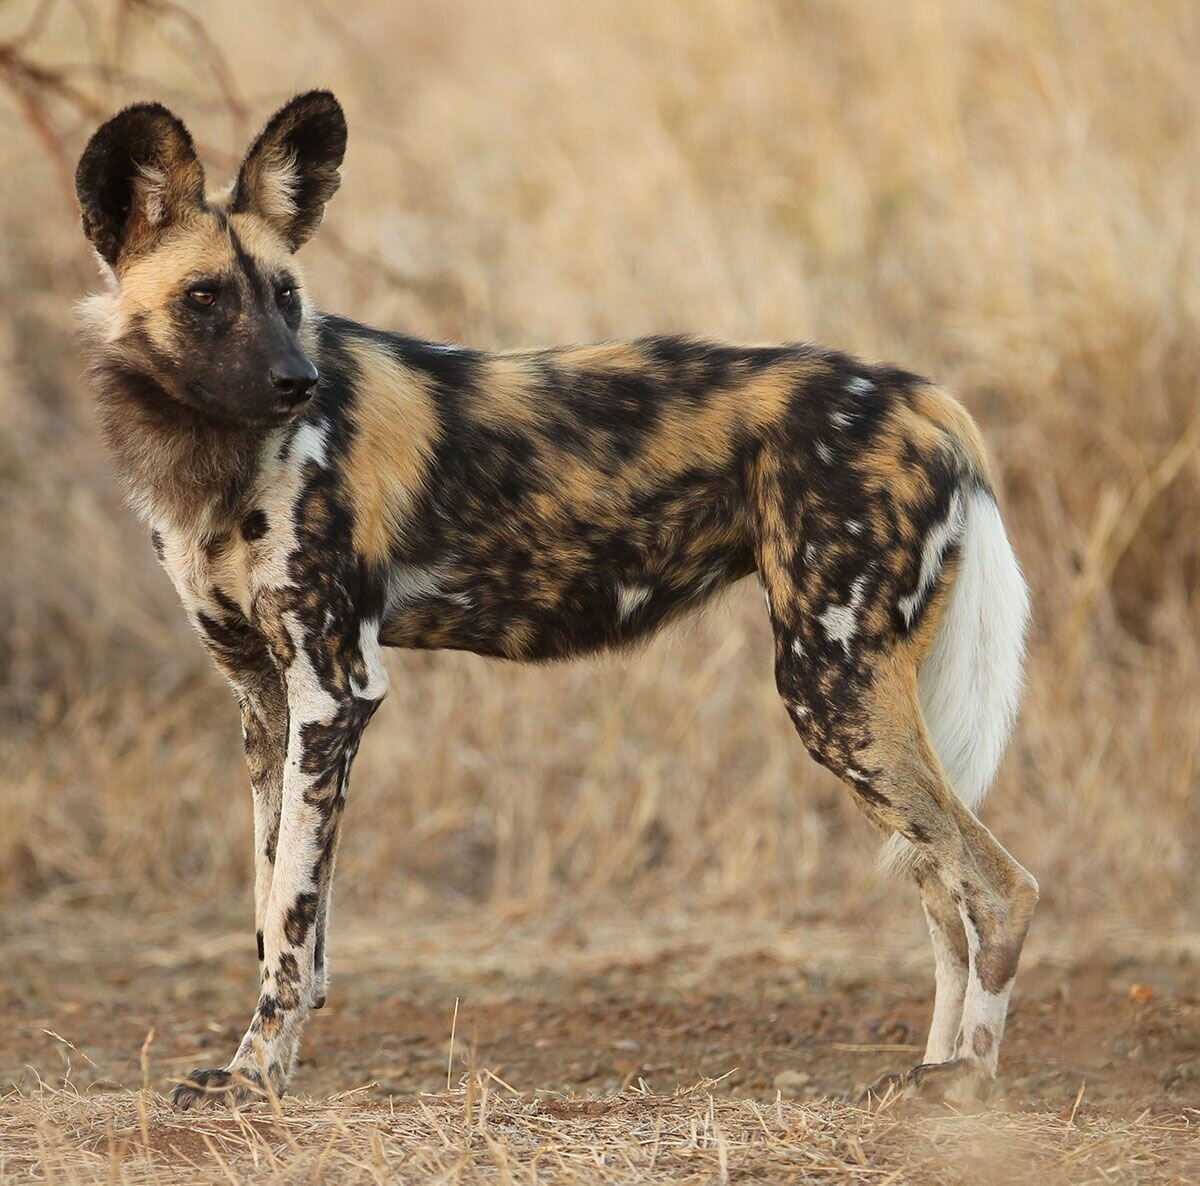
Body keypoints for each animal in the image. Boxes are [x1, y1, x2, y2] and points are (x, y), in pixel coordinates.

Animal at [75, 92, 1032, 1113]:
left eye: (288, 297)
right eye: (205, 298)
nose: (298, 380)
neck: (213, 460)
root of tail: (923, 397)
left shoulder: (335, 690)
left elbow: (290, 923)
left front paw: (254, 1076)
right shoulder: (264, 699)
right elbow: (274, 904)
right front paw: (270, 1062)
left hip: (830, 689)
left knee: (998, 886)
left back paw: (972, 1077)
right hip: (860, 701)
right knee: (942, 891)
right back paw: (929, 1071)